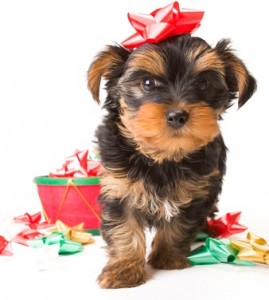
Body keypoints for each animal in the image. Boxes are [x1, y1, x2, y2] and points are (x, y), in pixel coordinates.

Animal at [87, 33, 255, 288]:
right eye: (148, 83)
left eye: (203, 83)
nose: (177, 115)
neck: (163, 157)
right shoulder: (119, 188)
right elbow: (123, 229)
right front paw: (124, 270)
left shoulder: (198, 193)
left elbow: (179, 226)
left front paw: (167, 257)